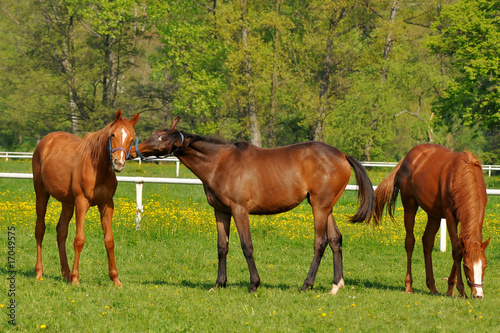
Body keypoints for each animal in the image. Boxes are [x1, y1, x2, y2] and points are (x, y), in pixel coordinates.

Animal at [33, 109, 139, 286]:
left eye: (132, 138)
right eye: (112, 134)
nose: (118, 163)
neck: (98, 169)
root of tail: (46, 141)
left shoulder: (106, 205)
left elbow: (109, 241)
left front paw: (115, 279)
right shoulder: (81, 203)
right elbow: (79, 240)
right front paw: (76, 278)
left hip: (67, 203)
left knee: (61, 231)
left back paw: (66, 274)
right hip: (41, 194)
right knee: (40, 230)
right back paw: (40, 272)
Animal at [131, 116, 374, 294]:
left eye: (161, 139)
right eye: (153, 135)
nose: (134, 151)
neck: (220, 163)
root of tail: (342, 155)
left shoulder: (240, 210)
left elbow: (246, 246)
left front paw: (254, 284)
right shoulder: (221, 211)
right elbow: (222, 246)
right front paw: (219, 283)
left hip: (319, 207)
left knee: (320, 242)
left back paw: (307, 284)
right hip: (327, 207)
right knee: (335, 240)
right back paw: (336, 285)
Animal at [376, 143, 488, 298]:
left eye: (485, 265)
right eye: (466, 266)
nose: (478, 295)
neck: (462, 175)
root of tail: (408, 157)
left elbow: (459, 249)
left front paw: (451, 289)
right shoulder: (450, 216)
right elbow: (456, 250)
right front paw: (459, 289)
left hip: (433, 214)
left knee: (427, 242)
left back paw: (432, 286)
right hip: (409, 205)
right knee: (410, 242)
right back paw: (409, 286)